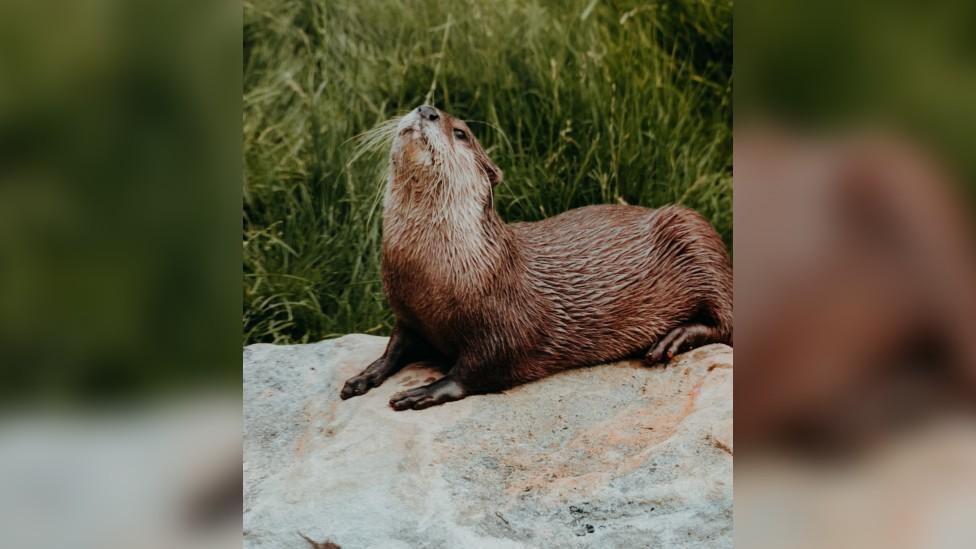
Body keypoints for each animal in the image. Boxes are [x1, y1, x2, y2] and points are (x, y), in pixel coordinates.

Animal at [340, 105, 728, 408]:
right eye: (421, 105)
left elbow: (479, 368)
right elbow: (395, 346)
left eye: (461, 133)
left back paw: (673, 339)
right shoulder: (408, 314)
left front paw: (425, 391)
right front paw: (364, 376)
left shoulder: (508, 320)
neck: (432, 271)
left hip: (697, 236)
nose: (427, 110)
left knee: (726, 321)